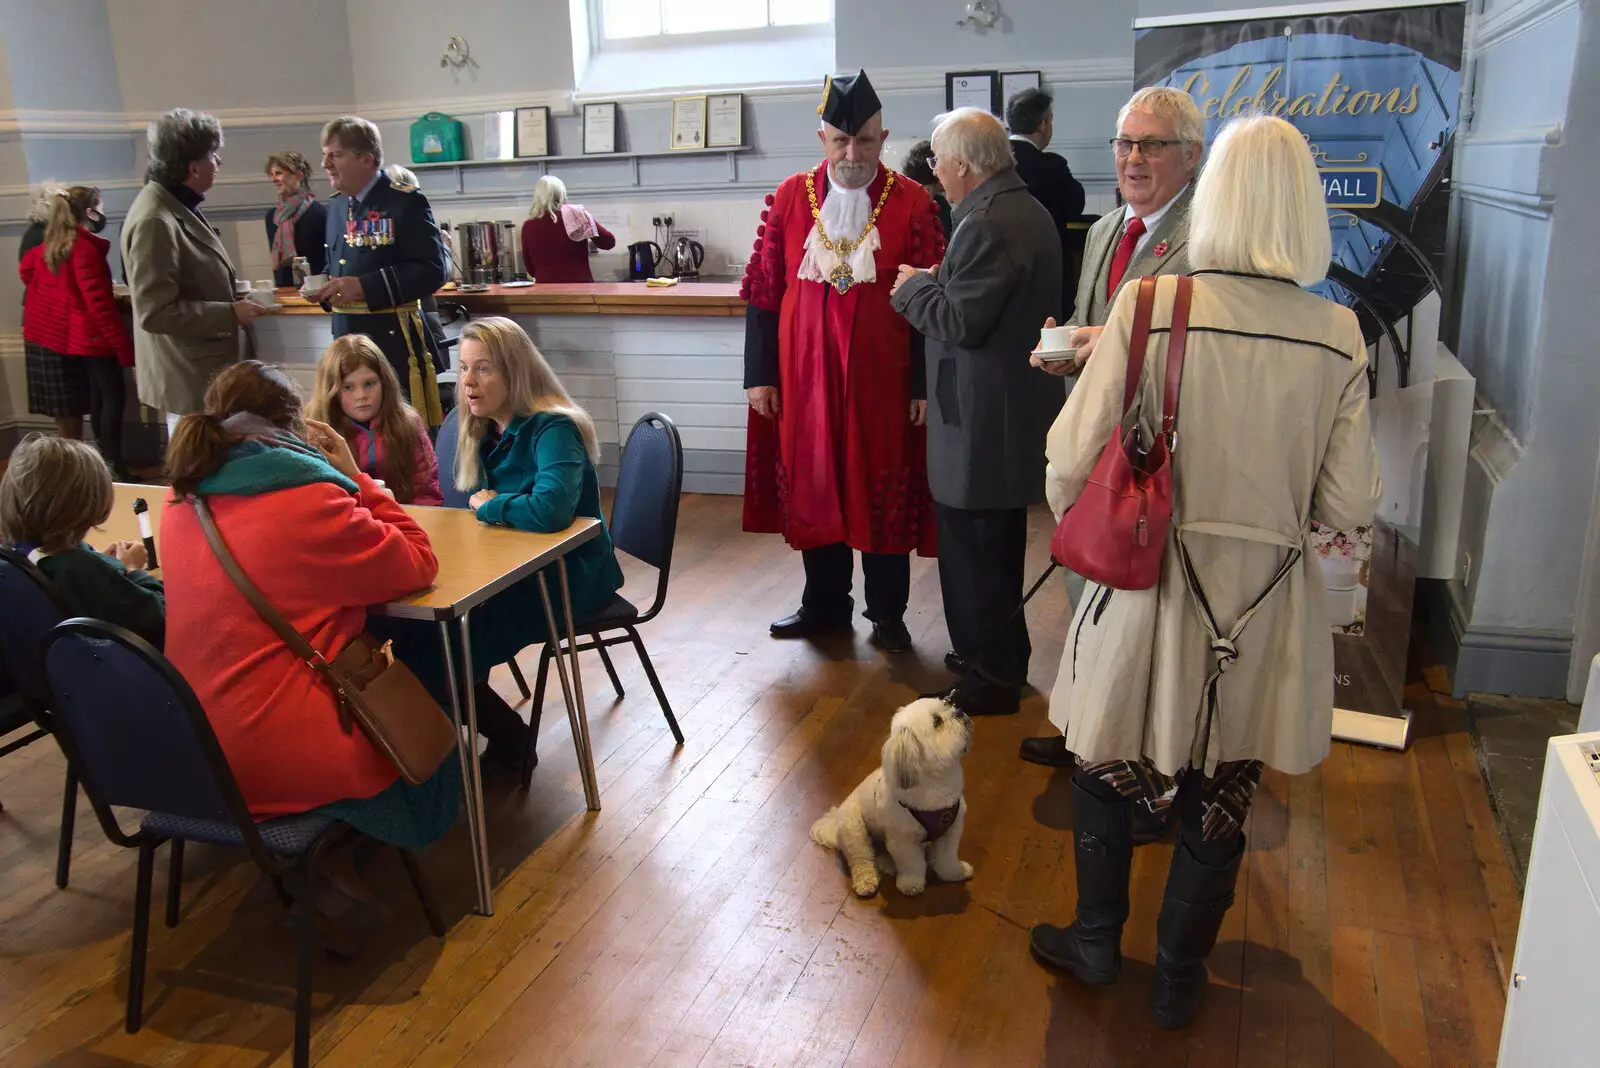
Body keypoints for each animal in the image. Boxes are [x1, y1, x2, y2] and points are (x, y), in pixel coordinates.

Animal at [812, 697, 972, 895]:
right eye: (937, 722)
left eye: (948, 704)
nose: (960, 711)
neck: (937, 781)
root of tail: (834, 822)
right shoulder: (903, 840)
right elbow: (911, 864)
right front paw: (911, 884)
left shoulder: (950, 830)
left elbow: (946, 858)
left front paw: (954, 873)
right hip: (854, 831)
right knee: (862, 859)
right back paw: (867, 882)